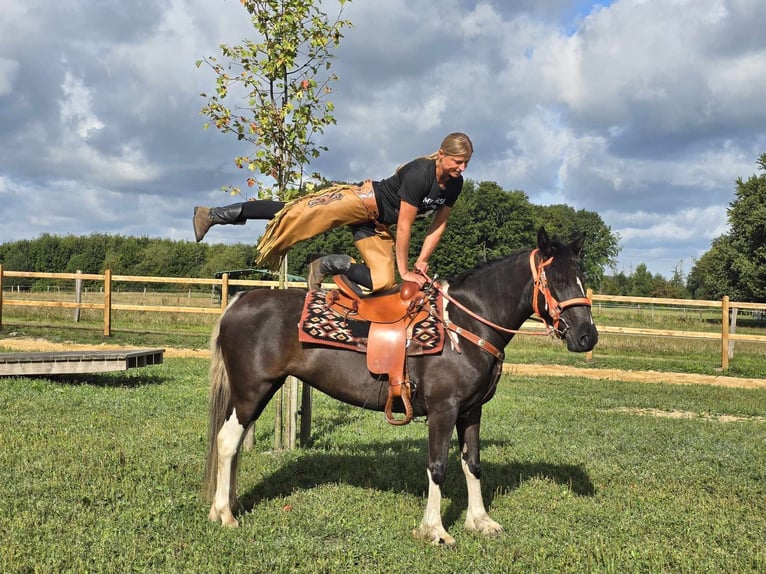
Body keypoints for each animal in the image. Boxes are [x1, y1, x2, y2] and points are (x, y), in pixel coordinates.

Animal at [204, 227, 600, 548]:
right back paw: (225, 514)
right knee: (227, 442)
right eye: (555, 277)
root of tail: (239, 300)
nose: (587, 337)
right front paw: (435, 531)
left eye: (582, 277)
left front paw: (480, 521)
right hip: (252, 391)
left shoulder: (471, 411)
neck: (465, 325)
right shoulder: (443, 410)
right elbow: (437, 466)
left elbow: (472, 463)